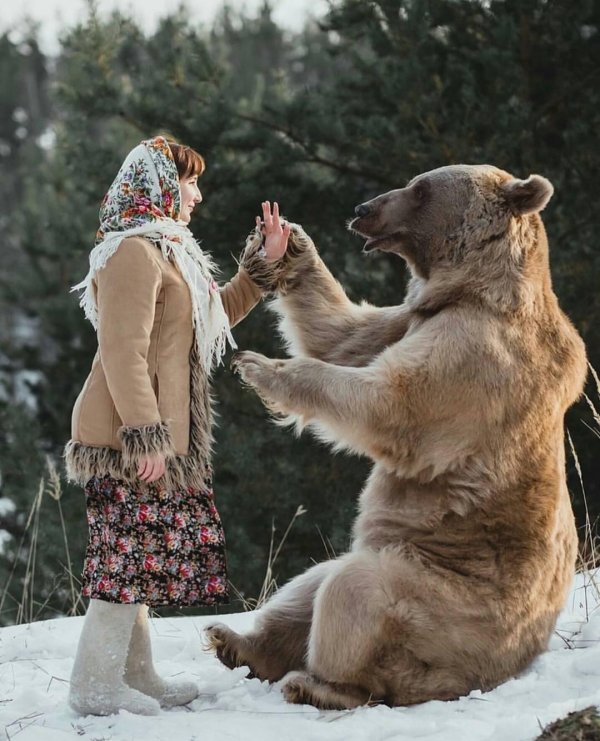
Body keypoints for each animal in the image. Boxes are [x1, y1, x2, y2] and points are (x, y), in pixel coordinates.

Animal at [205, 164, 588, 710]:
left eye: (421, 188)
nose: (363, 210)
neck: (472, 289)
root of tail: (502, 669)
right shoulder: (408, 319)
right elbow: (342, 334)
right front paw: (284, 238)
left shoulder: (475, 354)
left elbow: (391, 402)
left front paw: (261, 365)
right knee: (309, 583)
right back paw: (233, 641)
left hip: (444, 604)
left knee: (354, 590)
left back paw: (322, 685)